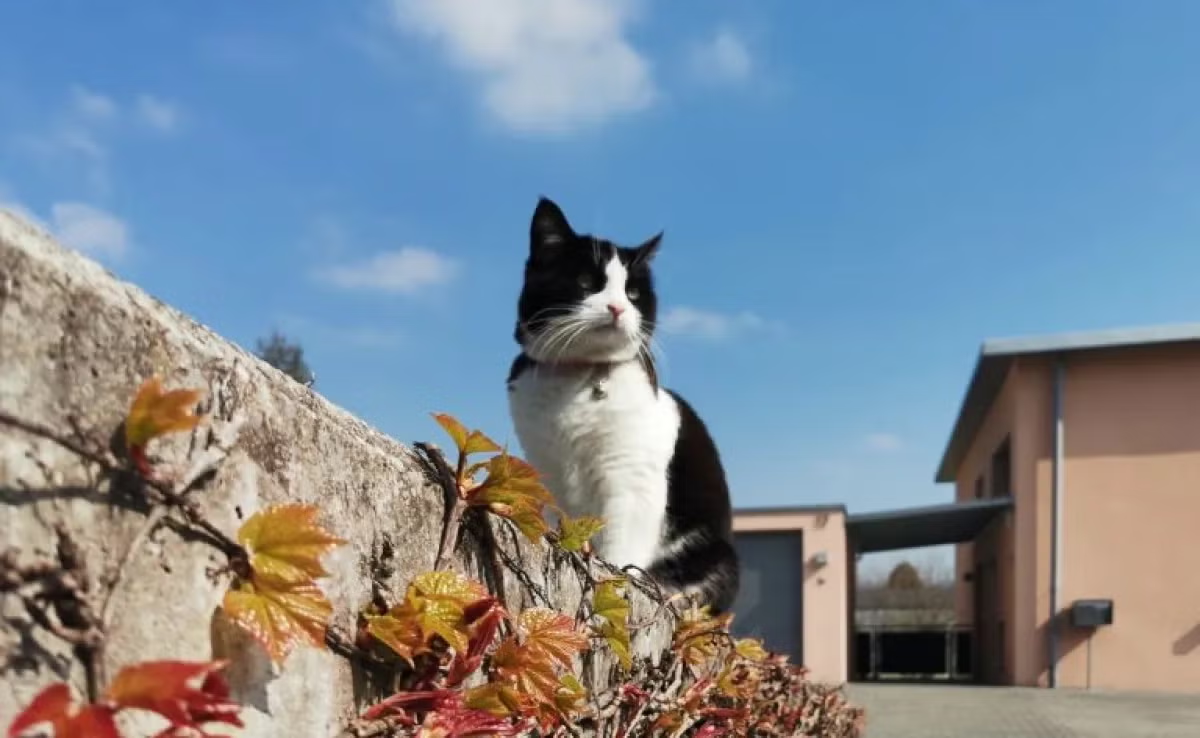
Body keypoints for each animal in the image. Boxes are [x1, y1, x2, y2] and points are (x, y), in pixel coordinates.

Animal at [501, 194, 734, 612]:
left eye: (634, 293)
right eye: (585, 282)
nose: (618, 308)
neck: (580, 380)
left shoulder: (631, 477)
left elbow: (618, 545)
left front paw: (611, 583)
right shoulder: (546, 470)